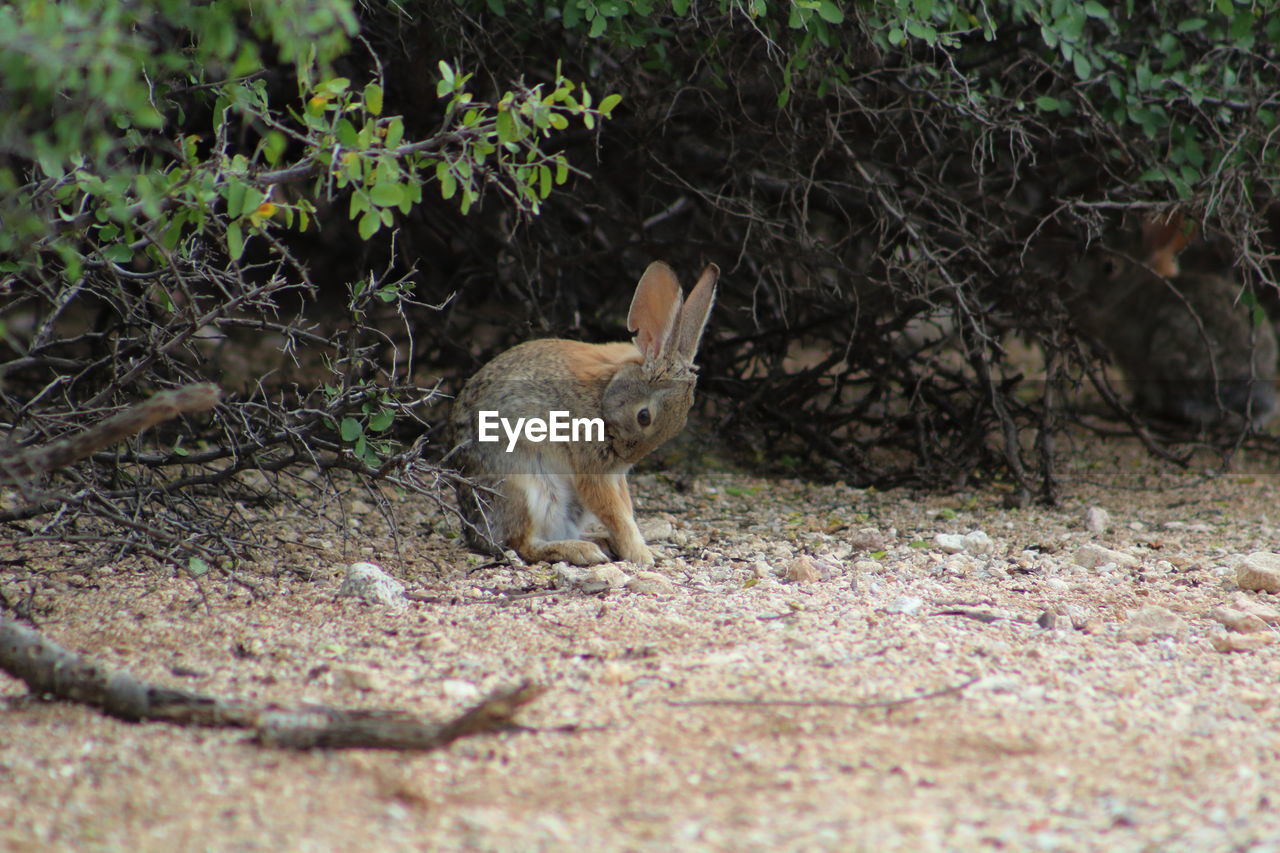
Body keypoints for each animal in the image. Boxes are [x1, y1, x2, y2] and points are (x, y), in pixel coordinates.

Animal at [445, 258, 716, 563]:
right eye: (644, 417)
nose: (626, 455)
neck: (605, 393)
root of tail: (476, 532)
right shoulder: (591, 465)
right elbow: (615, 513)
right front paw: (642, 554)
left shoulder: (615, 474)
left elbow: (625, 508)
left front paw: (646, 550)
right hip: (527, 488)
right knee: (522, 543)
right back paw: (582, 551)